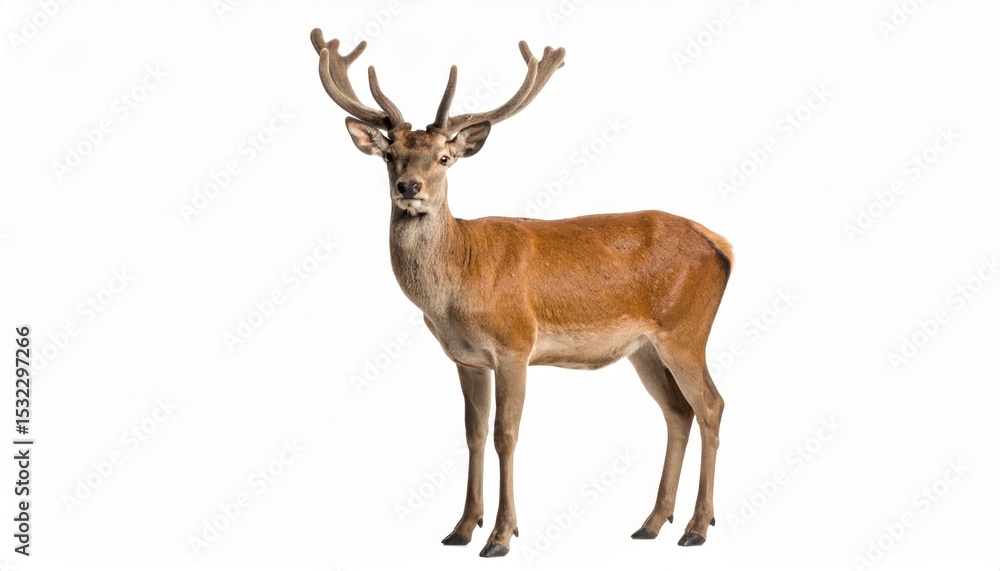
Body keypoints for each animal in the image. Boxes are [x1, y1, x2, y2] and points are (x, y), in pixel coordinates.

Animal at [310, 28, 733, 558]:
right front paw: (460, 528)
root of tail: (722, 246)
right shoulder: (467, 358)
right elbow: (472, 434)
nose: (409, 187)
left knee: (712, 405)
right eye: (390, 155)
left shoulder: (515, 344)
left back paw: (698, 526)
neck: (458, 283)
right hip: (644, 348)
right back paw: (653, 522)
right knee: (677, 411)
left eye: (444, 158)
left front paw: (500, 535)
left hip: (686, 331)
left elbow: (504, 435)